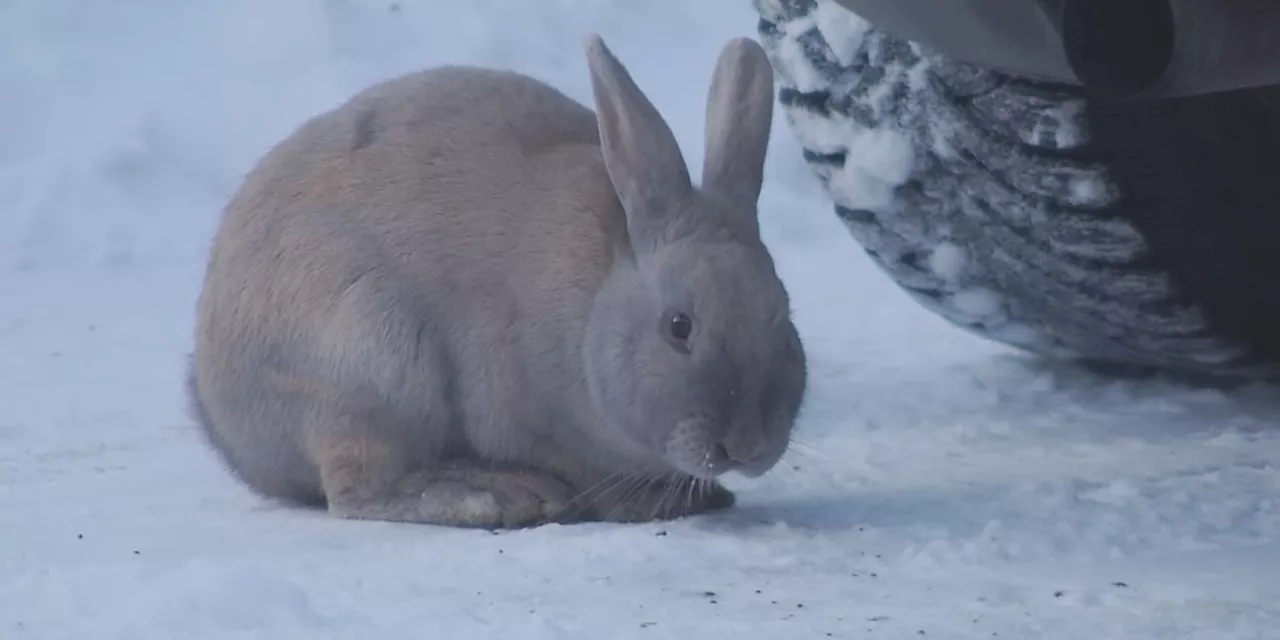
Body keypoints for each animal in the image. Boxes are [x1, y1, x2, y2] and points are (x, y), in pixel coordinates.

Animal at [186, 32, 808, 527]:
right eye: (679, 326)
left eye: (784, 315)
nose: (747, 444)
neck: (598, 302)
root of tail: (219, 415)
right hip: (369, 361)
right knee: (360, 487)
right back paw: (497, 498)